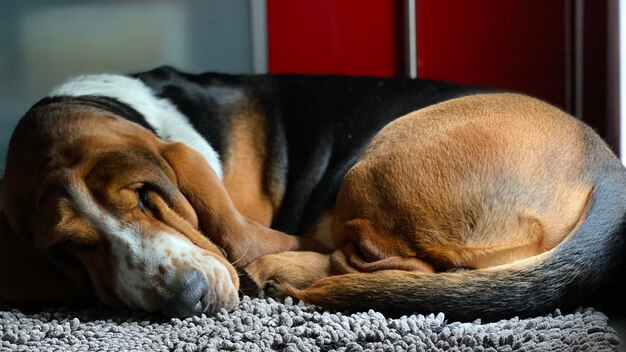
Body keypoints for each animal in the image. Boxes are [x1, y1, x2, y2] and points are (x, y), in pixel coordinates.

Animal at [0, 65, 620, 320]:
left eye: (149, 196)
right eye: (71, 247)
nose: (186, 300)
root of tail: (608, 172)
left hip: (376, 163)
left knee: (394, 268)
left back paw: (281, 271)